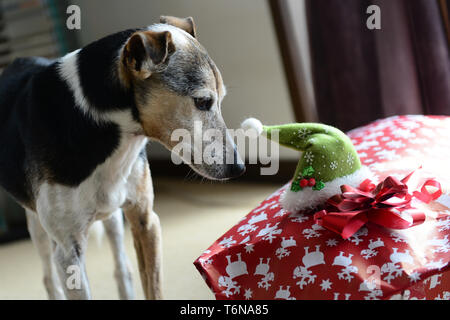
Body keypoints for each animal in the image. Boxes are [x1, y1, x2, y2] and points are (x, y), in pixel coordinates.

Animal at [0, 16, 244, 298]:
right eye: (202, 102)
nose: (239, 168)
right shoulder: (69, 251)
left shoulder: (145, 221)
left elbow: (152, 286)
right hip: (38, 229)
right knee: (49, 279)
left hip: (113, 217)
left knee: (121, 268)